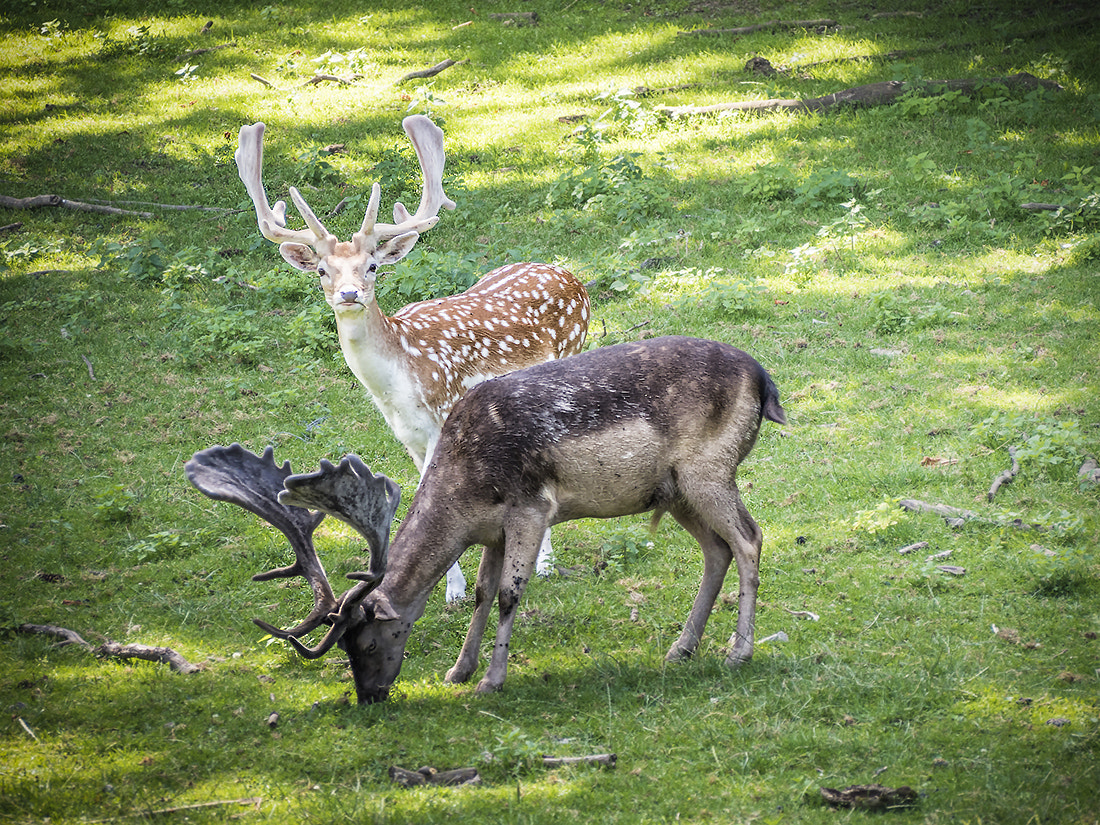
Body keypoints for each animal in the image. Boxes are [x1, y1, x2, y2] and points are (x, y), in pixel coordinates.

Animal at [185, 335, 786, 704]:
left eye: (369, 643)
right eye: (349, 650)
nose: (370, 696)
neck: (466, 490)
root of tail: (763, 380)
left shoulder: (531, 507)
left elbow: (509, 595)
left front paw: (491, 681)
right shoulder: (492, 529)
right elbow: (479, 591)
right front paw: (459, 669)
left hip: (710, 470)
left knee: (750, 539)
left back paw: (739, 652)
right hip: (677, 490)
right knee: (716, 550)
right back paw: (681, 648)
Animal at [234, 115, 590, 602]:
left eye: (372, 266)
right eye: (323, 270)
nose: (349, 294)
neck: (400, 384)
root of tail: (572, 276)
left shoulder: (445, 418)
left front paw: (453, 588)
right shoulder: (407, 435)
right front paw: (452, 589)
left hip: (573, 355)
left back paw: (547, 563)